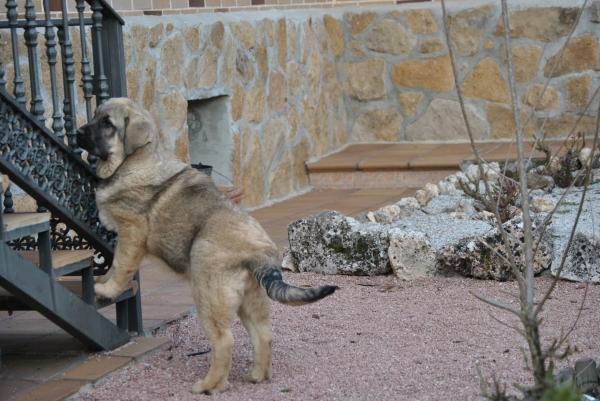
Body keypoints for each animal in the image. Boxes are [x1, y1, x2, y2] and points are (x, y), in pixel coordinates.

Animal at [75, 97, 340, 394]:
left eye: (107, 123)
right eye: (95, 116)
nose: (77, 133)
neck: (135, 160)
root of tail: (259, 253)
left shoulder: (132, 231)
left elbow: (121, 263)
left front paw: (108, 289)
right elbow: (115, 264)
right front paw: (103, 282)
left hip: (208, 295)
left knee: (224, 341)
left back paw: (210, 385)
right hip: (250, 299)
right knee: (264, 335)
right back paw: (257, 376)